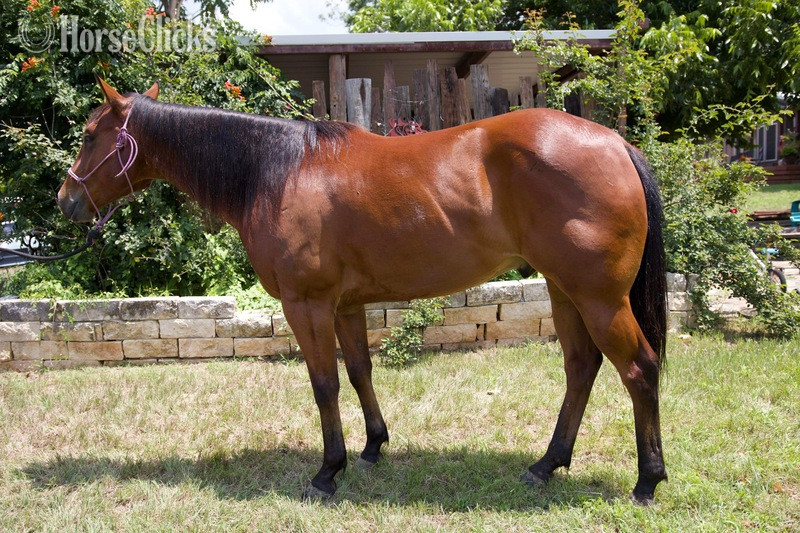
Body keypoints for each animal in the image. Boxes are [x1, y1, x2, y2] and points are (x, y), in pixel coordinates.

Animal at [58, 78, 668, 504]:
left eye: (89, 136)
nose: (67, 201)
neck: (280, 171)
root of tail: (616, 143)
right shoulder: (345, 305)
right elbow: (358, 373)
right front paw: (374, 447)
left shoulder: (307, 304)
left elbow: (324, 384)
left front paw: (328, 471)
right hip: (565, 292)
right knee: (581, 367)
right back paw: (546, 465)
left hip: (598, 298)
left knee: (638, 368)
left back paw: (647, 480)